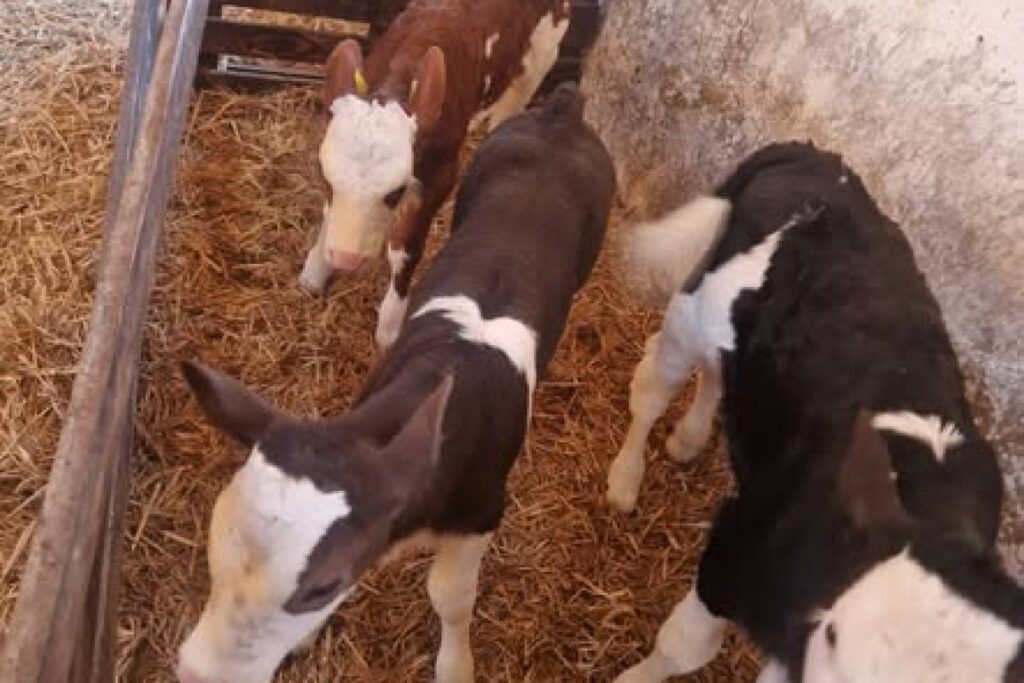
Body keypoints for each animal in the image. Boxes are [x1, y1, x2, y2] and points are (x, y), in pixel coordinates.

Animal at [175, 84, 615, 683]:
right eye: (214, 537)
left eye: (321, 586)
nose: (198, 672)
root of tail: (561, 110)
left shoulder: (483, 513)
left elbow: (450, 595)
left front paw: (456, 666)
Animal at [299, 0, 574, 350]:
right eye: (326, 180)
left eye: (395, 193)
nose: (345, 258)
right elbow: (327, 214)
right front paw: (315, 271)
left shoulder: (439, 177)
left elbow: (406, 247)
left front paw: (390, 326)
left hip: (543, 52)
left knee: (512, 103)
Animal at [605, 142, 1024, 683]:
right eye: (834, 635)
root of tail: (812, 154)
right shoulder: (733, 549)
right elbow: (683, 647)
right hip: (691, 313)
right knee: (653, 386)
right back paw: (625, 479)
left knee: (718, 375)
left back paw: (688, 439)